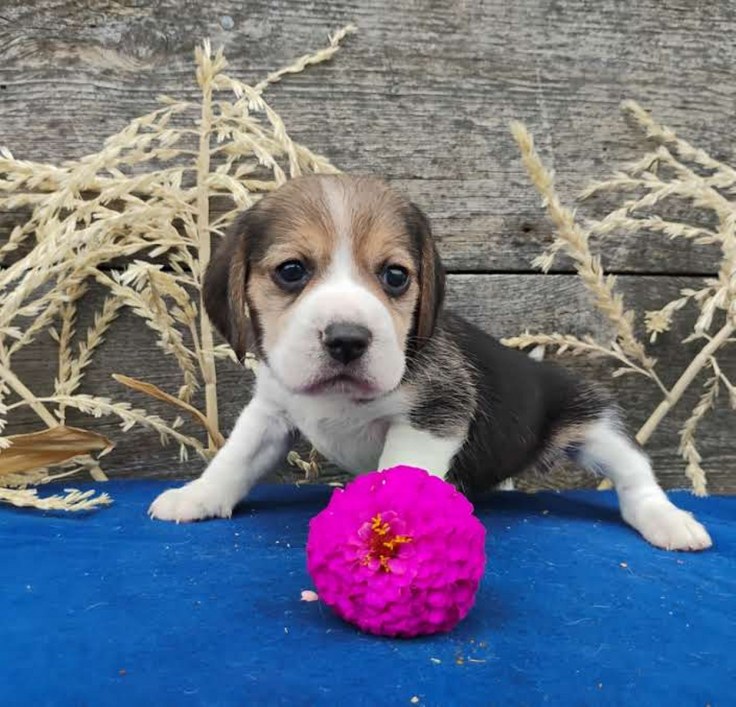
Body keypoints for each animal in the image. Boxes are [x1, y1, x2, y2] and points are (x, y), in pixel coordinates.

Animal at [149, 174, 711, 552]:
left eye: (396, 276)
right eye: (291, 271)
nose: (348, 340)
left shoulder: (435, 414)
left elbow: (398, 474)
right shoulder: (271, 412)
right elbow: (234, 459)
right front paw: (197, 496)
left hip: (596, 424)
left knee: (636, 478)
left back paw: (670, 522)